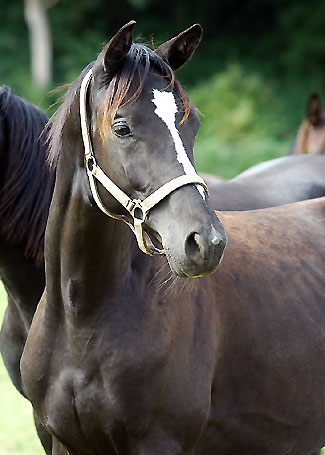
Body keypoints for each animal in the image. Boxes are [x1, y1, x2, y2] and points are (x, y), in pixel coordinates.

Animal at [19, 23, 324, 455]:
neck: (82, 318)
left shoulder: (158, 442)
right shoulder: (62, 442)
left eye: (190, 124)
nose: (206, 242)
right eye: (122, 127)